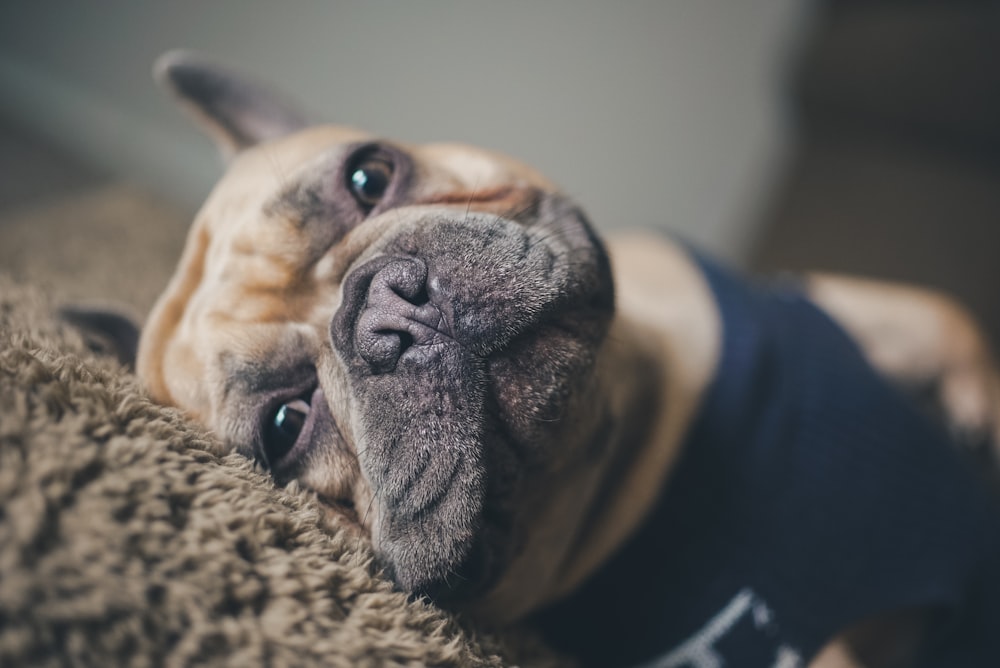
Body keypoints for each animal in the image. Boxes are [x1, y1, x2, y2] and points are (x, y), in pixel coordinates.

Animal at [119, 53, 1000, 668]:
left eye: (368, 174)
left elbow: (948, 314)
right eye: (285, 423)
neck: (640, 428)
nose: (385, 313)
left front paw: (980, 413)